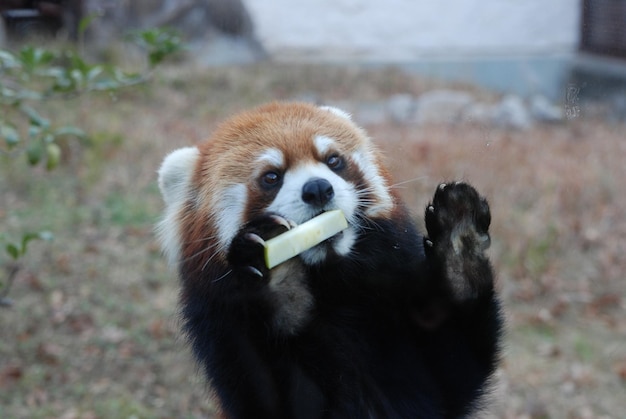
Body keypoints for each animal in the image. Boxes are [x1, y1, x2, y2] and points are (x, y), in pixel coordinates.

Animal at [157, 102, 502, 419]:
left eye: (333, 160)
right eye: (271, 177)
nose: (318, 188)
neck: (331, 285)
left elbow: (458, 369)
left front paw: (459, 246)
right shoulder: (223, 329)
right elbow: (269, 399)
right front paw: (278, 276)